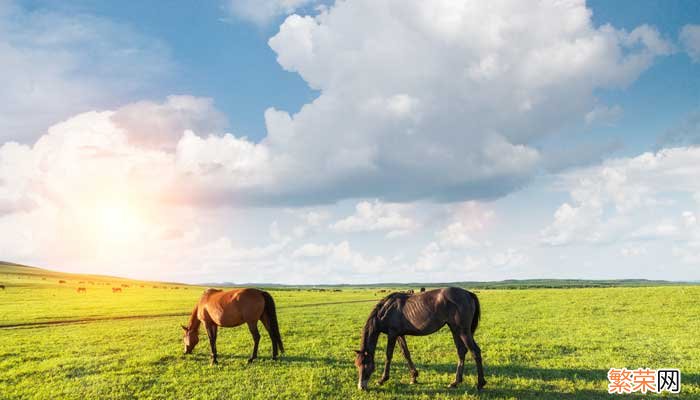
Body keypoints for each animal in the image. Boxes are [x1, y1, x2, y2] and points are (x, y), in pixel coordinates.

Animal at [352, 286, 484, 392]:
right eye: (357, 365)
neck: (387, 309)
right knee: (461, 351)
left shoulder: (392, 334)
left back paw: (480, 383)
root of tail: (468, 293)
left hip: (463, 331)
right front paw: (414, 377)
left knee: (475, 352)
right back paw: (455, 382)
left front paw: (382, 379)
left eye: (365, 364)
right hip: (455, 329)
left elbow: (388, 355)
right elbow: (406, 354)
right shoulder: (400, 335)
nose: (361, 387)